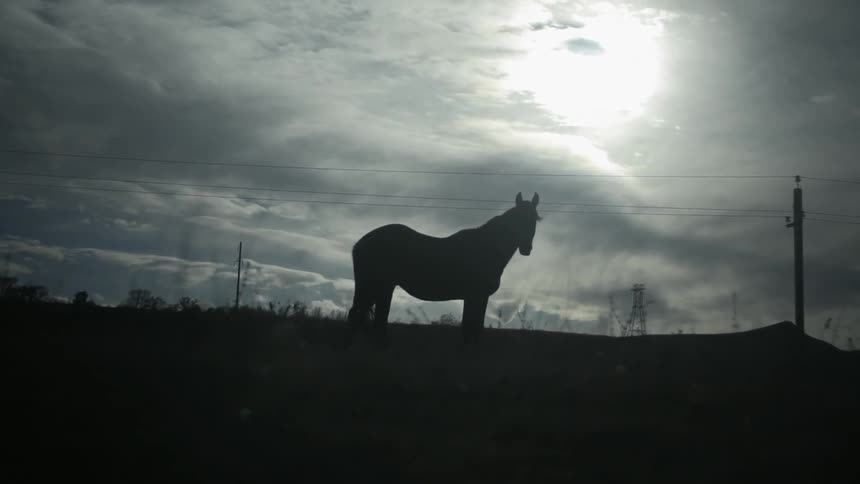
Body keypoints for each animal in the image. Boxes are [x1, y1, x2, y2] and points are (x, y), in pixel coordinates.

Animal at [347, 191, 541, 346]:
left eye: (535, 220)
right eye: (518, 220)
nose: (526, 249)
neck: (485, 247)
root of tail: (359, 244)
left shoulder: (476, 298)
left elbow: (471, 330)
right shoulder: (476, 296)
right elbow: (470, 330)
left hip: (383, 288)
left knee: (375, 320)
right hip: (374, 287)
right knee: (358, 316)